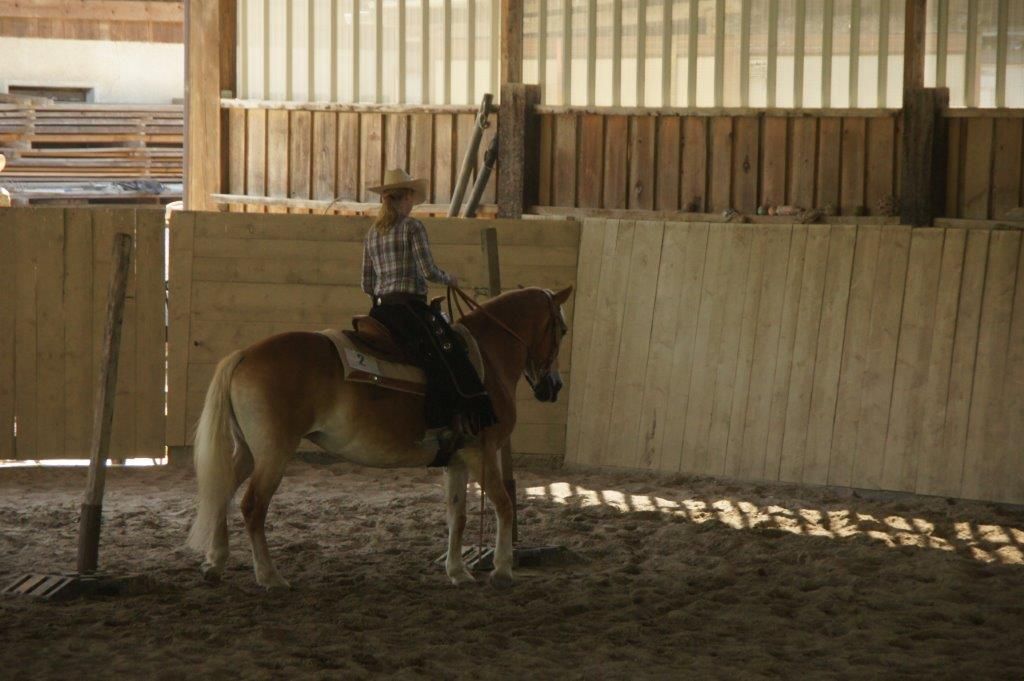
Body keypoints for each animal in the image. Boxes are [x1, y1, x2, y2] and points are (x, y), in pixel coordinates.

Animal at [186, 285, 573, 589]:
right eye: (563, 329)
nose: (553, 387)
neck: (486, 358)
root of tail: (244, 355)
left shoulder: (457, 460)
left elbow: (457, 515)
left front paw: (458, 571)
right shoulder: (483, 451)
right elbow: (504, 504)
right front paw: (503, 569)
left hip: (249, 452)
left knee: (222, 490)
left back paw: (215, 563)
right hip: (274, 453)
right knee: (253, 506)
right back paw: (269, 576)